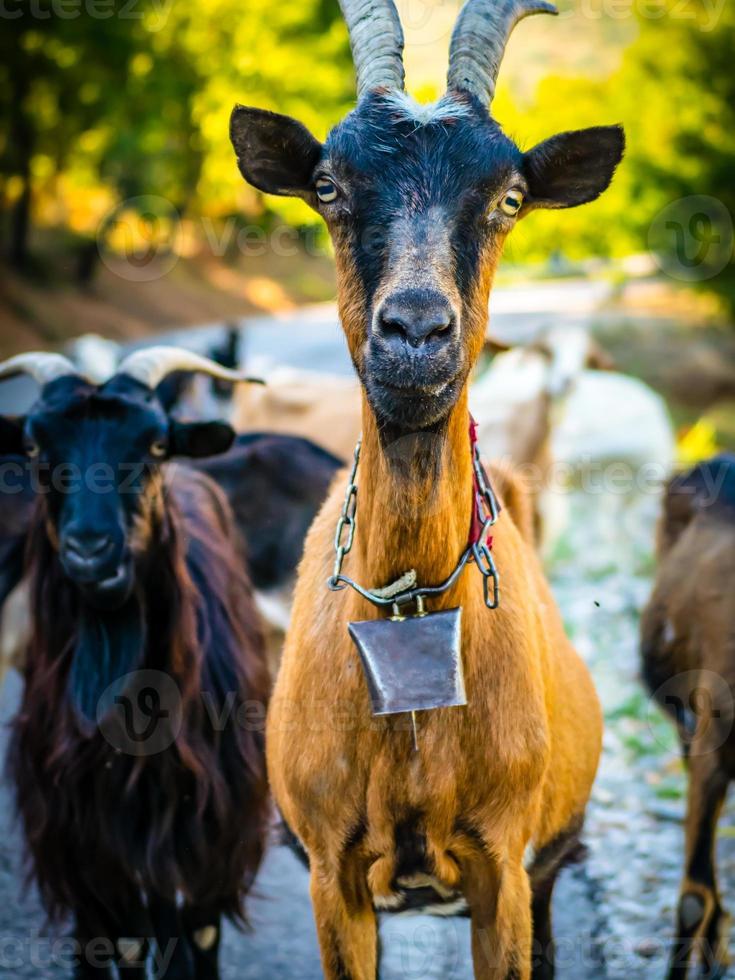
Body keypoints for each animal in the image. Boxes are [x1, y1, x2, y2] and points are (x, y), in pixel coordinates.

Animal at [0, 348, 272, 976]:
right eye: (33, 446)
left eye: (155, 445)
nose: (90, 551)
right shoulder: (87, 840)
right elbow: (123, 938)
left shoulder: (210, 828)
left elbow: (199, 932)